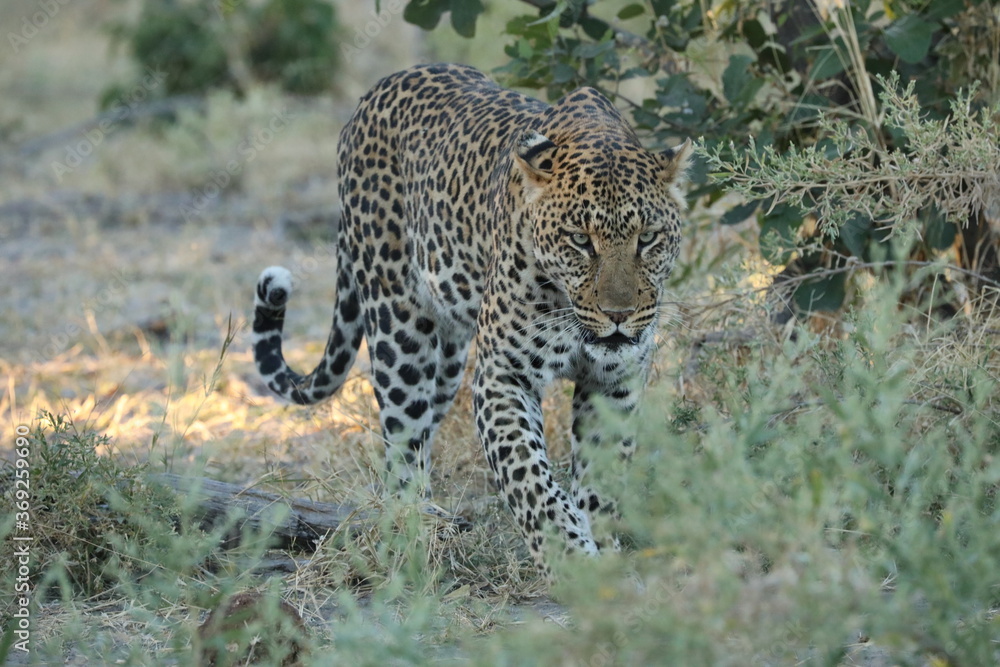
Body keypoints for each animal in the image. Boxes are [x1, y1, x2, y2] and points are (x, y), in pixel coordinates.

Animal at [252, 63, 689, 573]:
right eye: (580, 240)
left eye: (648, 238)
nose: (618, 315)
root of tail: (377, 90)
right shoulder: (503, 375)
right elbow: (529, 479)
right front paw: (569, 560)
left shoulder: (614, 381)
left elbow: (602, 479)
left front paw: (605, 555)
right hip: (400, 329)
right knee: (401, 443)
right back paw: (418, 526)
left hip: (447, 362)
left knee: (424, 426)